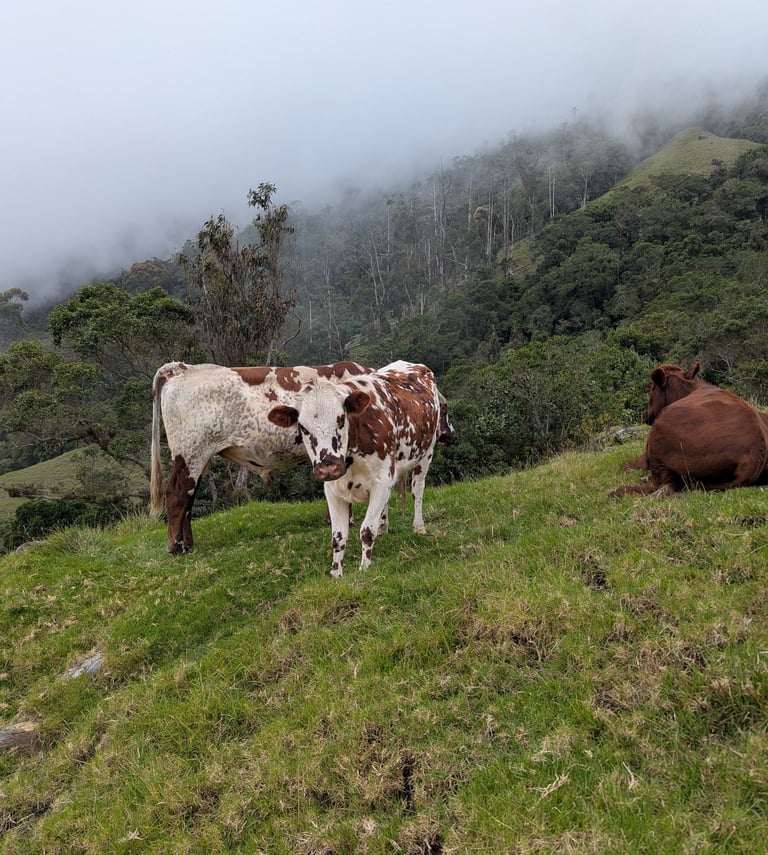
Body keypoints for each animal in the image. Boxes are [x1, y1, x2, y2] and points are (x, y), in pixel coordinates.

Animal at [150, 360, 373, 553]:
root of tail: (182, 367)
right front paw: (346, 519)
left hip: (197, 459)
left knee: (189, 497)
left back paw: (188, 543)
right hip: (190, 454)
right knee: (177, 494)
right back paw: (176, 546)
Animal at [267, 360, 450, 576]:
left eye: (340, 418)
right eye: (303, 427)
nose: (328, 467)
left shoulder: (381, 481)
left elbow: (366, 531)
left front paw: (364, 568)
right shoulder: (333, 489)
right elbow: (338, 537)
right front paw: (336, 573)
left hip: (426, 455)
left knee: (417, 491)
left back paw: (418, 526)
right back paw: (384, 526)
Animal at [611, 362, 768, 497]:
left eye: (649, 389)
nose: (643, 414)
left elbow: (629, 465)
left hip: (658, 435)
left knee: (658, 483)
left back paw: (617, 491)